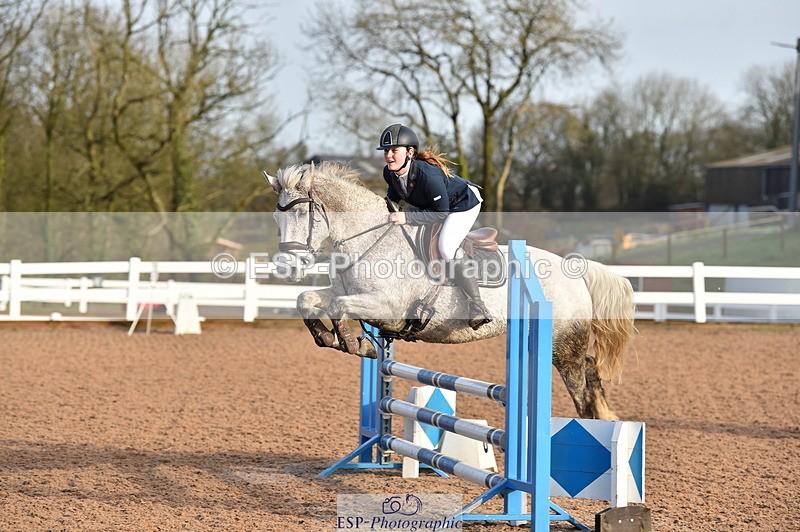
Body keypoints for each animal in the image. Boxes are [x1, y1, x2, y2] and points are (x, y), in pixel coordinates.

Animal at [263, 161, 635, 420]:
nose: (287, 269)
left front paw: (357, 344)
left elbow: (339, 306)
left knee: (581, 388)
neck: (369, 240)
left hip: (563, 344)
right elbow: (308, 300)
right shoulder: (348, 295)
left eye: (302, 214)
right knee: (591, 369)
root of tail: (576, 271)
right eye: (276, 219)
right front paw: (328, 338)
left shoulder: (386, 306)